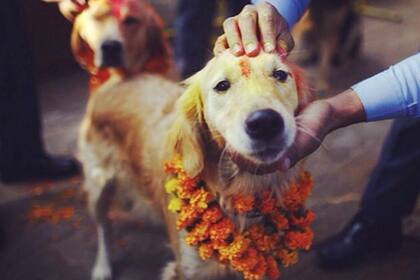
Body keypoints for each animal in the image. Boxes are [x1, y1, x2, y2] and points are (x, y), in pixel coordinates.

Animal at [78, 47, 316, 278]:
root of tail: (119, 79)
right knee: (103, 226)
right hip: (98, 184)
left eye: (280, 75)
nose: (265, 122)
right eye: (222, 85)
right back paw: (102, 266)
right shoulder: (187, 268)